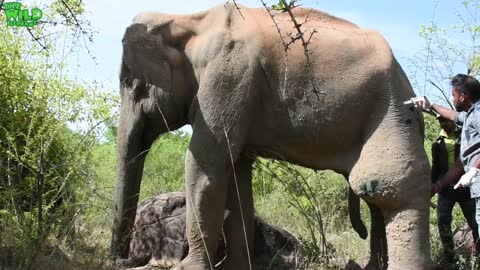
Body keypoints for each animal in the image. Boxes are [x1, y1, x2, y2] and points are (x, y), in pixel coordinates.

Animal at [111, 2, 432, 270]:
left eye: (128, 82)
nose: (128, 259)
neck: (187, 21)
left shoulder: (228, 77)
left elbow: (204, 165)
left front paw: (189, 268)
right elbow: (236, 172)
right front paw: (235, 268)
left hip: (392, 108)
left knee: (388, 185)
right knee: (373, 195)